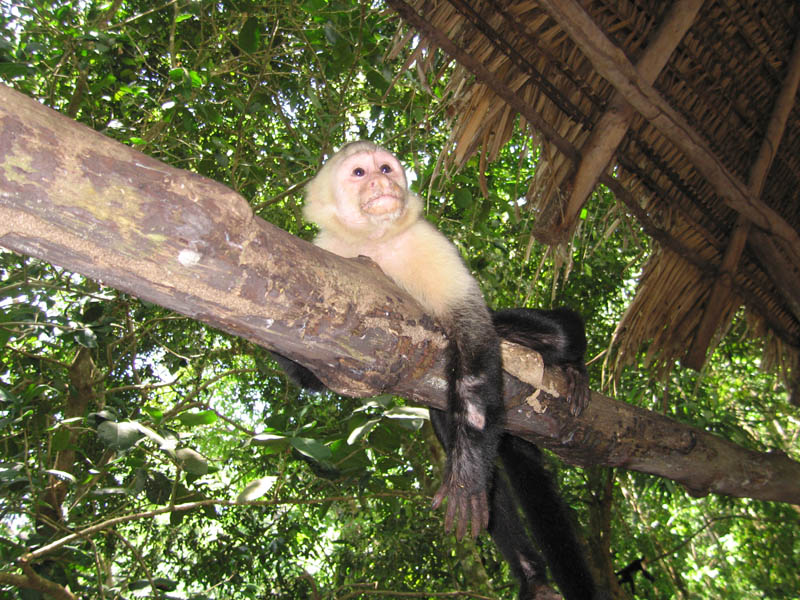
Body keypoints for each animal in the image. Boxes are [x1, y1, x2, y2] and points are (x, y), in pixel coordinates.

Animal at [278, 142, 604, 600]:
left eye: (386, 168)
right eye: (360, 173)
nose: (383, 184)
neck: (374, 242)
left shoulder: (425, 243)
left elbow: (474, 339)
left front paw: (465, 474)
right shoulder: (329, 254)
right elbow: (317, 374)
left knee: (551, 335)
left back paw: (569, 369)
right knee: (459, 443)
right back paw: (532, 575)